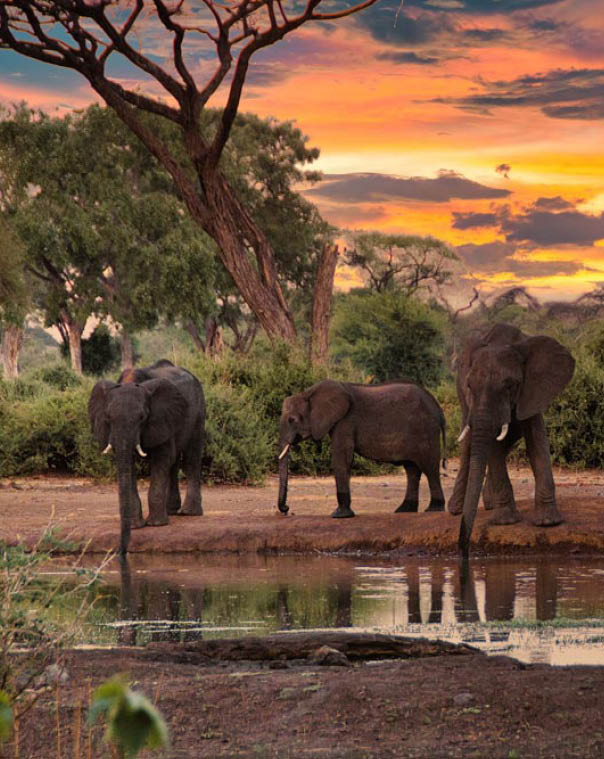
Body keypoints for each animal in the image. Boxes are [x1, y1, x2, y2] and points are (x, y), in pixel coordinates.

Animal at [89, 359, 205, 554]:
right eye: (107, 417)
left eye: (142, 417)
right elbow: (128, 463)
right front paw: (136, 526)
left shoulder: (161, 418)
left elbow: (161, 459)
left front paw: (157, 525)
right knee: (174, 465)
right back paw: (171, 510)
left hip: (199, 411)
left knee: (191, 457)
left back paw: (189, 513)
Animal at [277, 379, 446, 517]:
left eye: (292, 420)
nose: (286, 509)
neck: (308, 393)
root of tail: (438, 408)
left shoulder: (345, 421)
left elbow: (341, 458)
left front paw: (339, 515)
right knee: (412, 469)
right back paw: (404, 510)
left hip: (426, 430)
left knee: (430, 467)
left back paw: (433, 509)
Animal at [448, 323, 575, 558]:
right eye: (470, 386)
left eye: (509, 386)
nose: (463, 547)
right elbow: (493, 448)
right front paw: (505, 522)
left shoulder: (533, 389)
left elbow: (537, 442)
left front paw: (547, 522)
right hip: (462, 401)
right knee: (468, 444)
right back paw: (456, 509)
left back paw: (488, 504)